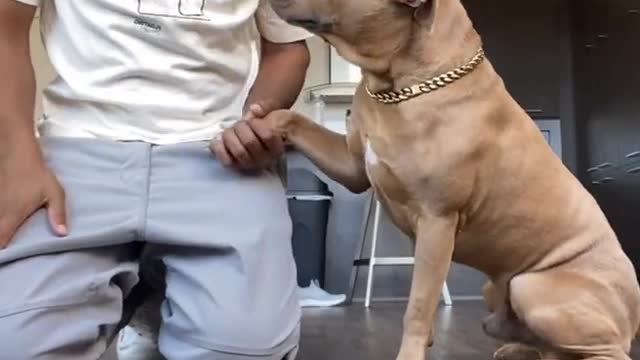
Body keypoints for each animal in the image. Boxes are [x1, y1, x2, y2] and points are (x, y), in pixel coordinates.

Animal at [262, 0, 640, 358]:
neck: (400, 85)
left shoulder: (437, 221)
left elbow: (417, 306)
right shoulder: (352, 165)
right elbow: (292, 120)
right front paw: (258, 124)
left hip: (532, 288)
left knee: (606, 352)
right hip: (496, 296)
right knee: (552, 350)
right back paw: (515, 351)